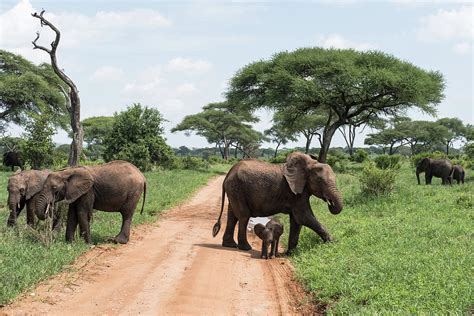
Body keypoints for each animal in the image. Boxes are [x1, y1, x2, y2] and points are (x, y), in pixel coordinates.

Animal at [213, 151, 342, 254]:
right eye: (319, 180)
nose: (330, 203)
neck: (310, 164)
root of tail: (228, 174)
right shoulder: (294, 192)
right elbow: (303, 217)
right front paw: (333, 243)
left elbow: (297, 220)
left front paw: (290, 253)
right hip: (237, 188)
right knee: (244, 215)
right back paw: (246, 248)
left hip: (234, 190)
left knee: (232, 216)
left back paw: (230, 245)